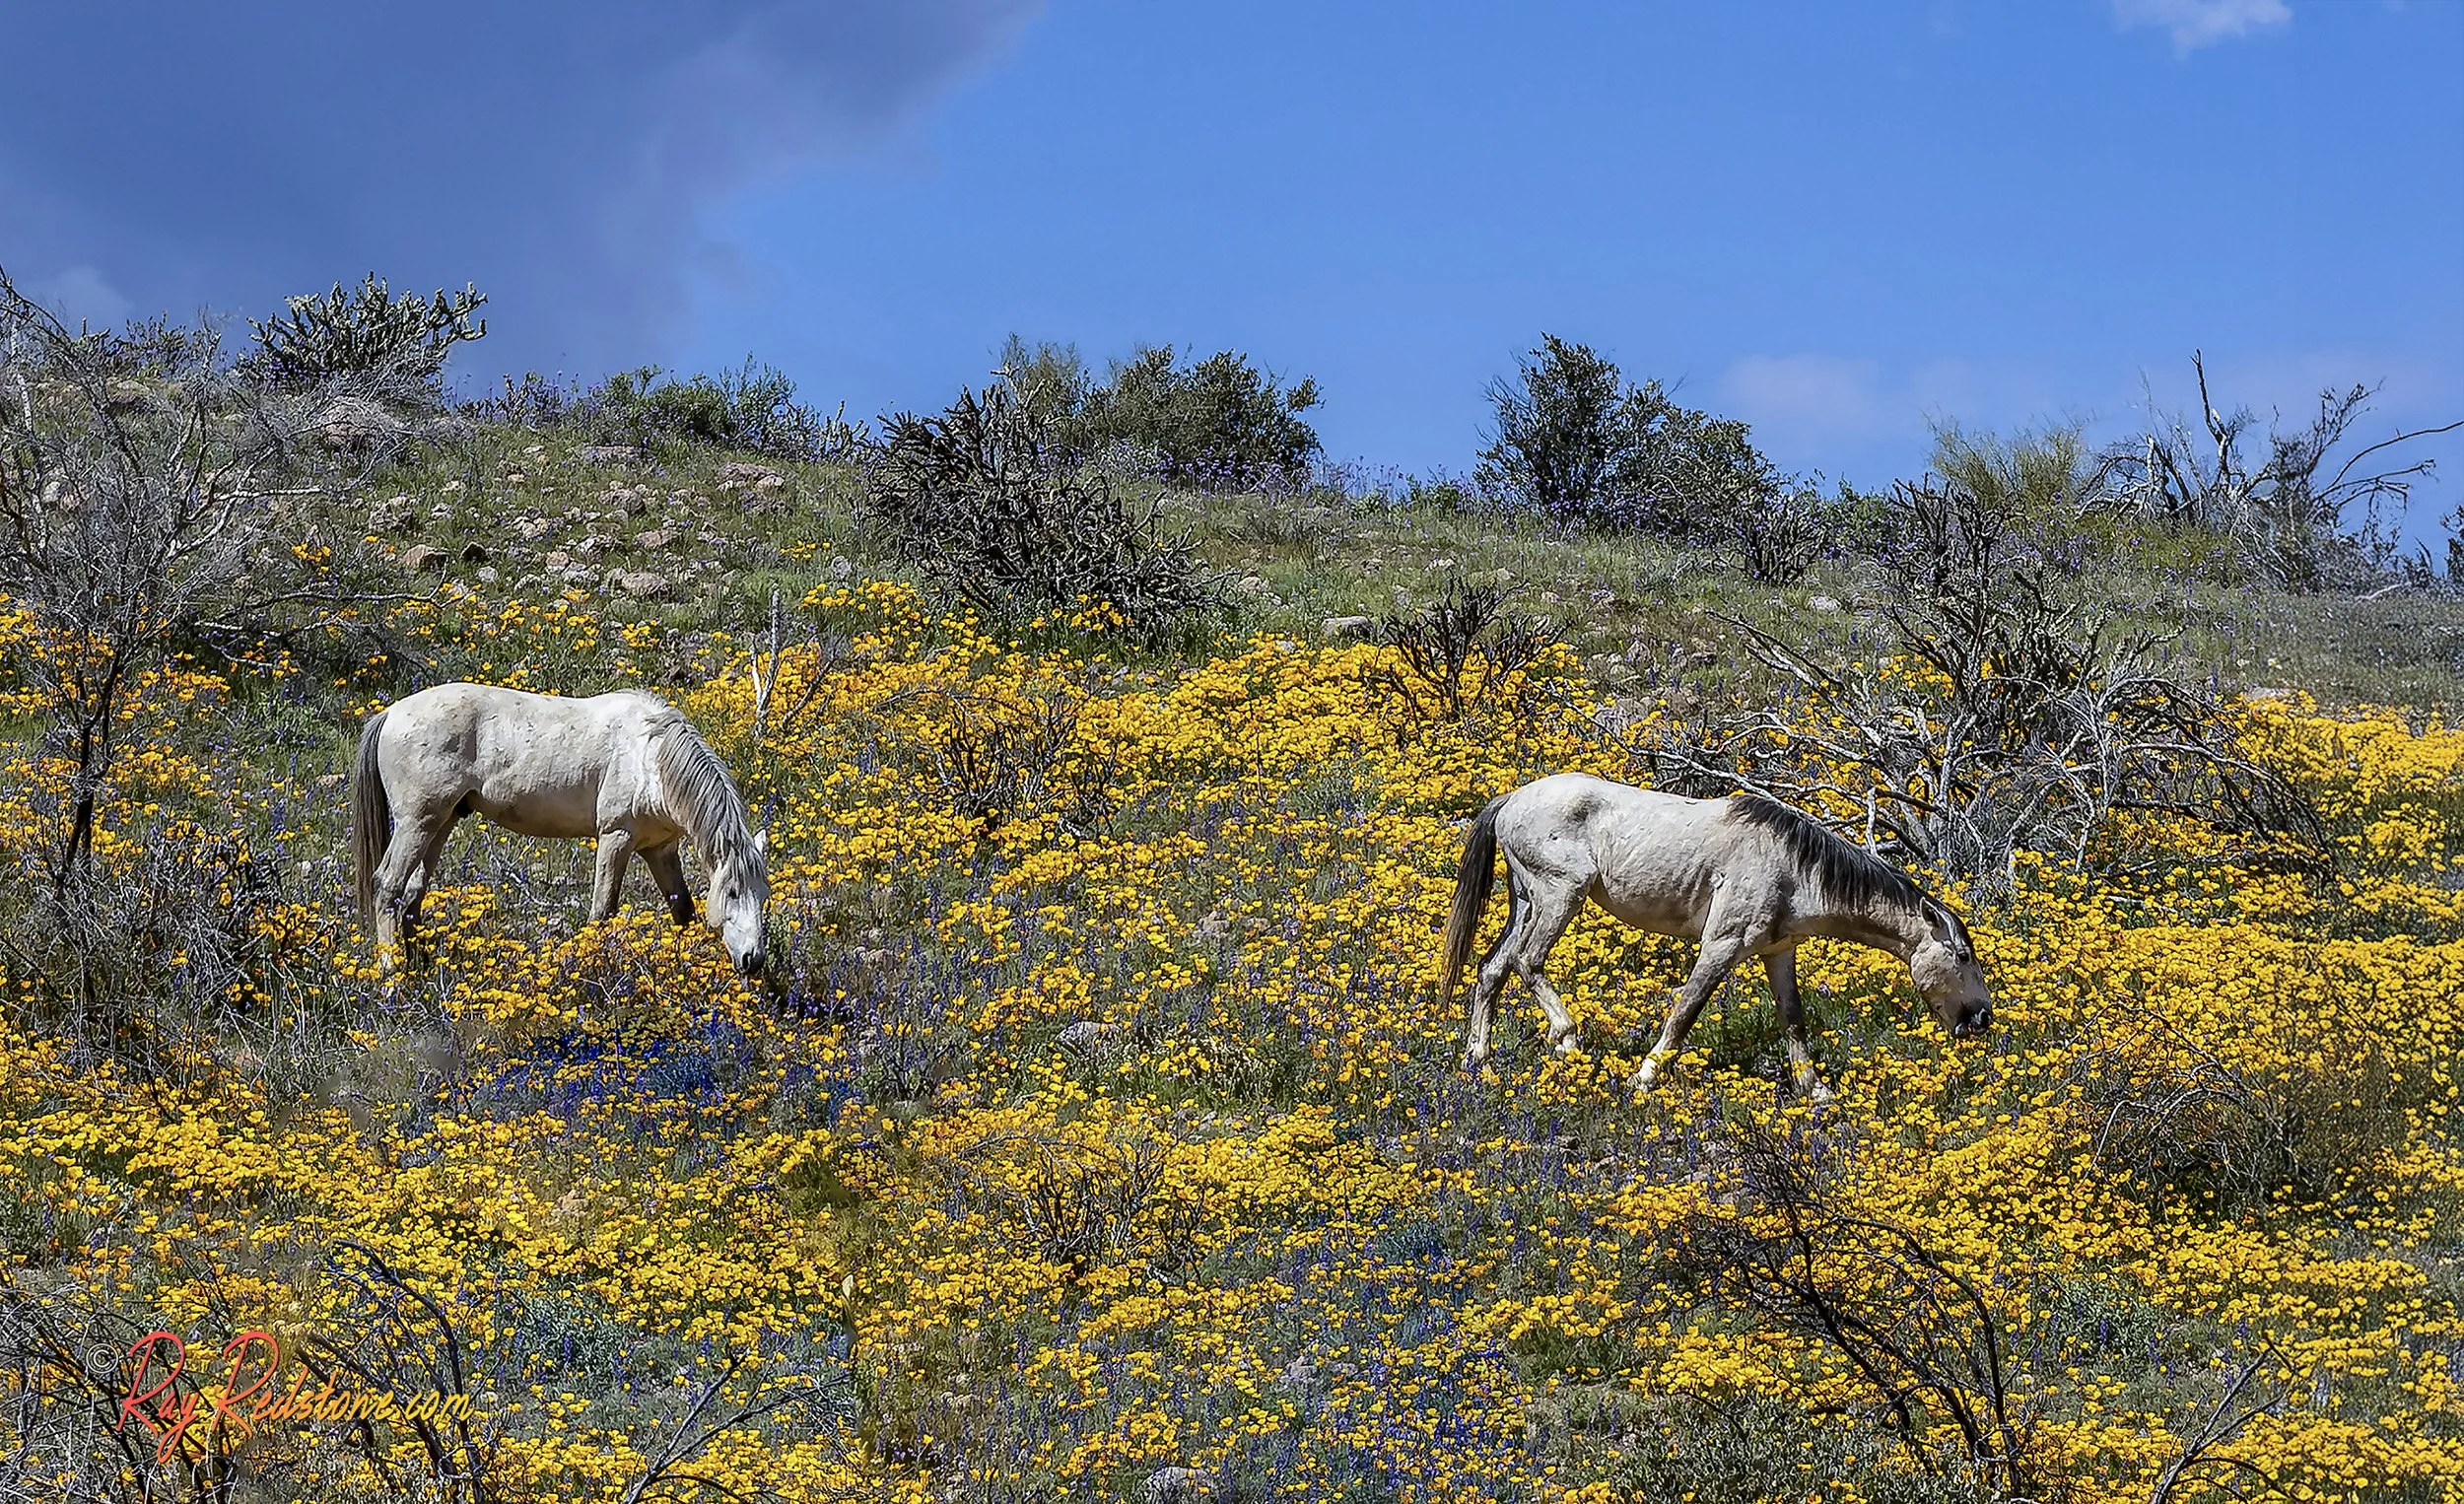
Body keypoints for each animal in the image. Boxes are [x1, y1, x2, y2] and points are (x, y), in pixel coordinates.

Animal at [350, 683, 771, 976]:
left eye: (763, 895)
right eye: (733, 892)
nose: (753, 960)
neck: (649, 758)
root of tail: (390, 714)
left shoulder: (659, 849)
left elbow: (682, 911)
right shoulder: (616, 838)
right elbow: (602, 911)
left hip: (441, 821)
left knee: (413, 893)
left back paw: (422, 965)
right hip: (415, 823)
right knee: (388, 886)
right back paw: (392, 975)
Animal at [1437, 773, 1991, 1096]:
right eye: (1963, 955)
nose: (1982, 1018)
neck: (1792, 866)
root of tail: (1510, 799)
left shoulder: (1778, 953)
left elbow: (1794, 1022)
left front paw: (1816, 1094)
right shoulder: (1721, 946)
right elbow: (1685, 1012)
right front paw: (1644, 1077)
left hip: (1526, 902)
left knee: (1492, 969)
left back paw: (1477, 1059)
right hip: (1561, 895)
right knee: (1528, 962)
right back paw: (1567, 1039)